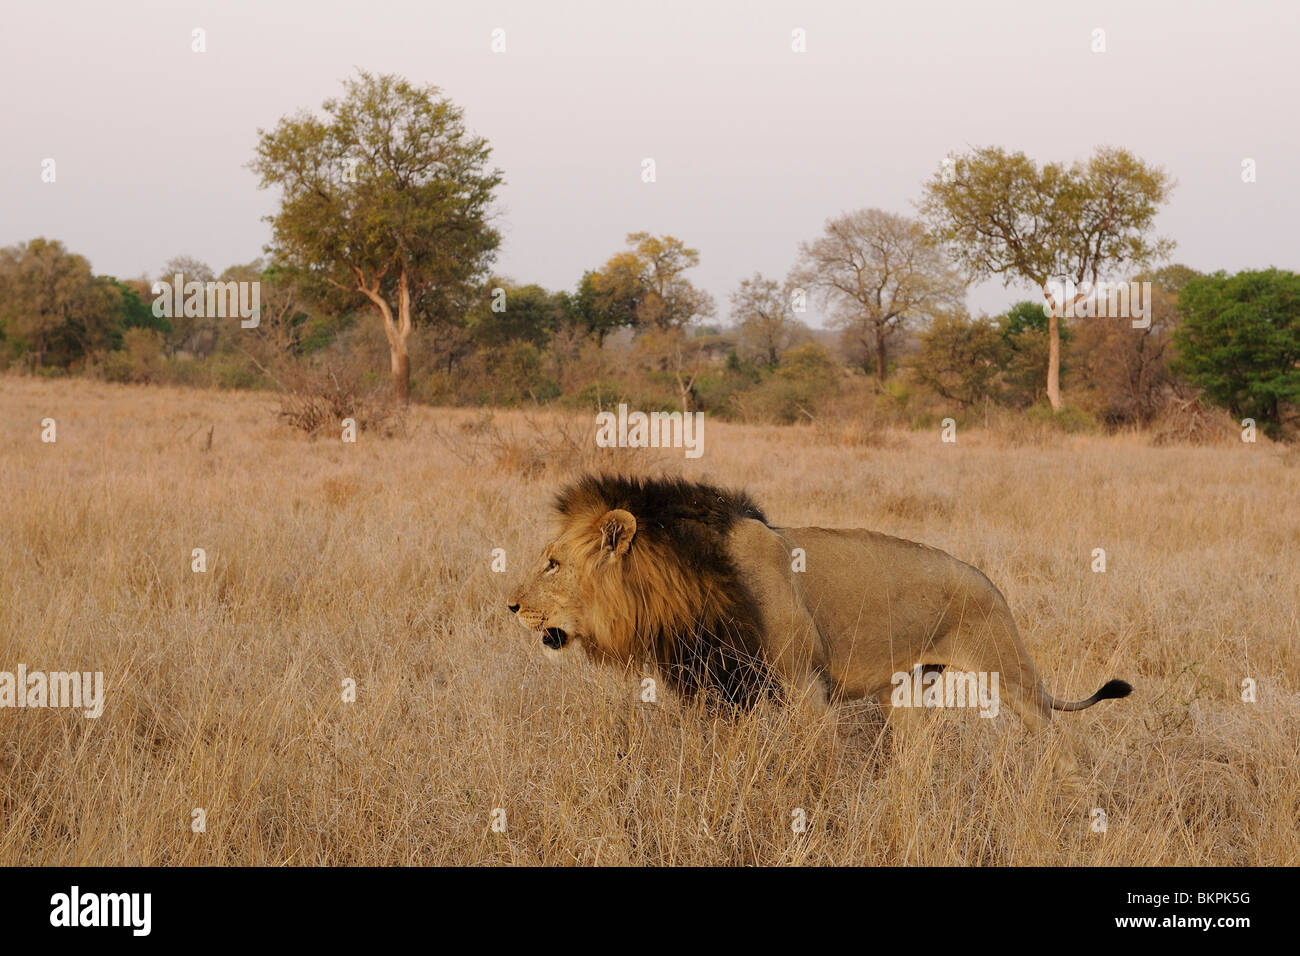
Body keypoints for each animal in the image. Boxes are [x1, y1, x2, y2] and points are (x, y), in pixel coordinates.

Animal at [506, 476, 1128, 775]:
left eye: (552, 563)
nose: (510, 606)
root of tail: (992, 584)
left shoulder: (806, 687)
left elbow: (818, 765)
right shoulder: (724, 689)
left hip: (1010, 670)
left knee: (1060, 743)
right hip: (904, 690)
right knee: (916, 757)